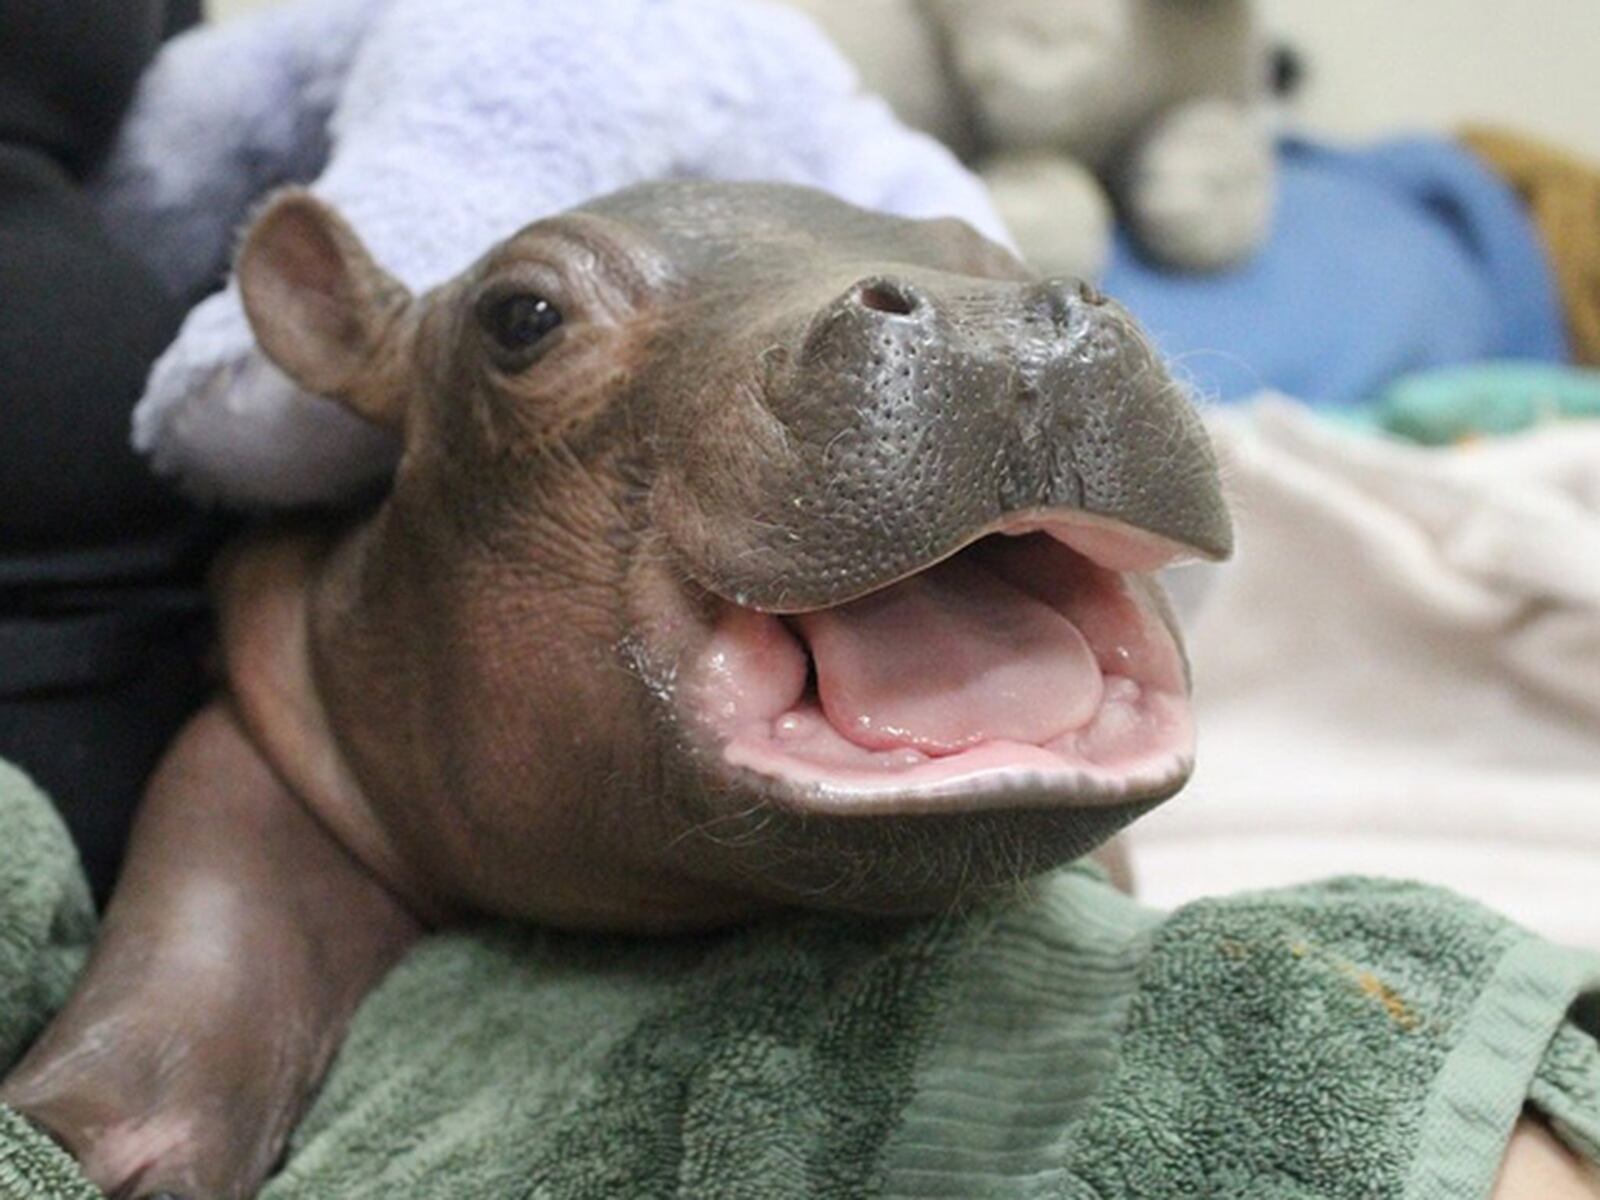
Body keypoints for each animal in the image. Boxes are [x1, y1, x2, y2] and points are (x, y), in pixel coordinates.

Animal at [0, 180, 1228, 1200]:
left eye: (992, 250)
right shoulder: (270, 712)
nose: (999, 324)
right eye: (519, 316)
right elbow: (208, 908)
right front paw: (82, 1134)